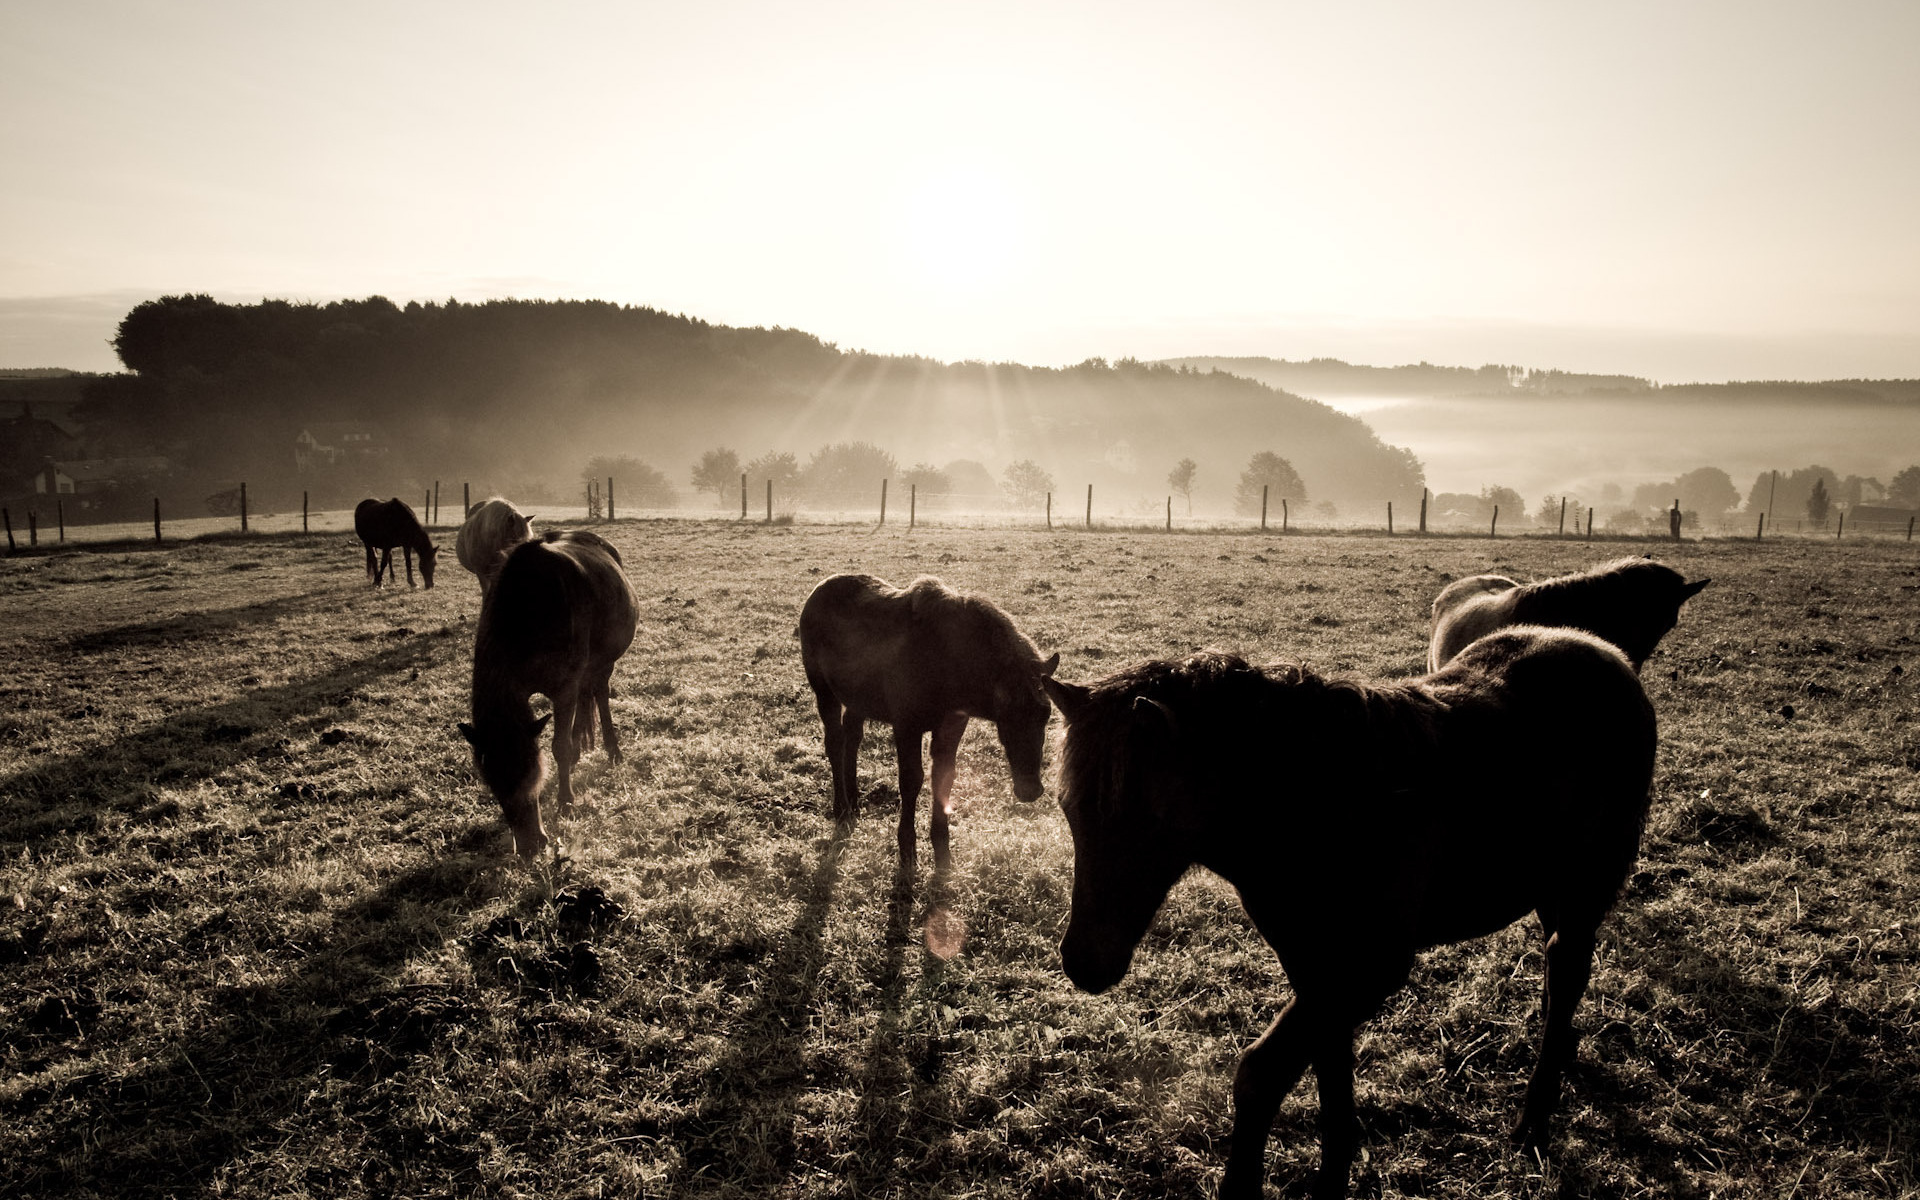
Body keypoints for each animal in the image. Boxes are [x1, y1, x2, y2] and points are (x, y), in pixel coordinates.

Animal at [456, 529, 637, 856]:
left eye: (532, 772)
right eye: (492, 782)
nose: (530, 844)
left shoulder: (563, 686)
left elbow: (559, 746)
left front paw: (567, 801)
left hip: (604, 662)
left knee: (600, 694)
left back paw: (613, 750)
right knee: (586, 696)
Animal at [798, 572, 1067, 871]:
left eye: (1046, 713)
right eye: (1006, 714)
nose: (1030, 789)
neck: (948, 666)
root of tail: (818, 591)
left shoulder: (951, 726)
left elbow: (944, 777)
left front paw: (942, 851)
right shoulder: (906, 725)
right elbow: (910, 781)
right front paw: (907, 850)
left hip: (858, 699)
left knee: (852, 738)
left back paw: (855, 800)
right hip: (824, 691)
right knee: (835, 742)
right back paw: (842, 808)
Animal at [1044, 633, 1658, 1190]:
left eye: (1147, 823)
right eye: (1070, 809)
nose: (1084, 961)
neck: (1328, 808)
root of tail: (1607, 655)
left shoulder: (1367, 972)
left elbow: (1261, 1074)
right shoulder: (1312, 965)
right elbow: (1329, 1067)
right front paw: (1337, 1167)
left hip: (1581, 894)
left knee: (1567, 970)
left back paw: (1532, 1122)